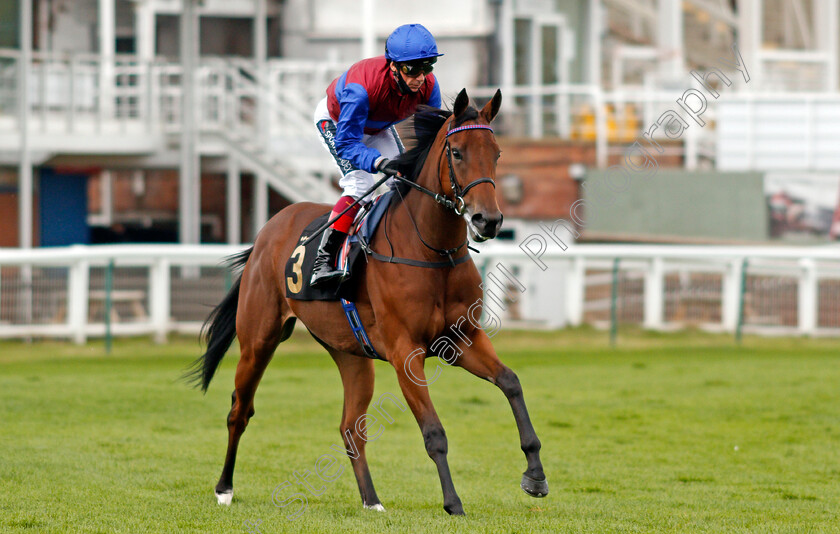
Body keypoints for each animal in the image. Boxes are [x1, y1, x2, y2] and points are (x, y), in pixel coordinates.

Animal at [187, 90, 548, 516]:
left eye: (496, 153)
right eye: (457, 152)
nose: (488, 220)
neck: (432, 251)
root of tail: (268, 230)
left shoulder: (462, 341)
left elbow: (511, 383)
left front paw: (535, 475)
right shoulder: (405, 351)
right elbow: (434, 432)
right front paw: (453, 503)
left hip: (351, 354)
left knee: (350, 427)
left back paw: (371, 501)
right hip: (259, 340)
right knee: (239, 411)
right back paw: (224, 488)